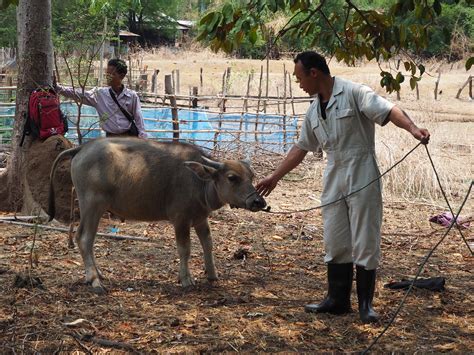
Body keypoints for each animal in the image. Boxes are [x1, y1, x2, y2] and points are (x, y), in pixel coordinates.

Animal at [51, 138, 270, 294]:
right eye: (232, 177)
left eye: (252, 176)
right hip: (92, 205)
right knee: (85, 238)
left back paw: (97, 274)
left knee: (86, 239)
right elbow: (185, 249)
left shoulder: (200, 218)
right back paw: (94, 280)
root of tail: (82, 147)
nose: (258, 202)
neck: (198, 181)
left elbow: (208, 244)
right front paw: (186, 279)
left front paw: (212, 274)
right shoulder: (180, 219)